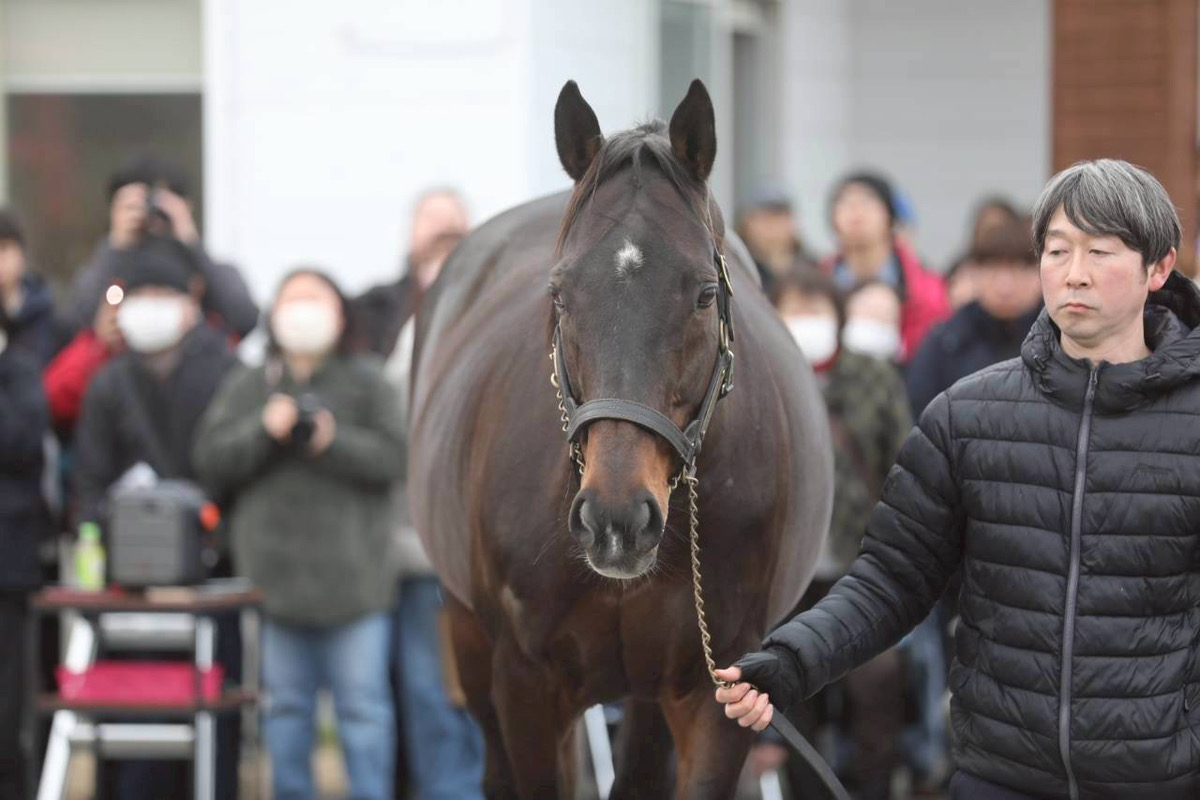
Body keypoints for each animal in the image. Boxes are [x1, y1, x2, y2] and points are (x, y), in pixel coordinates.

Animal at [408, 78, 833, 800]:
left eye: (705, 294)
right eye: (560, 292)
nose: (616, 519)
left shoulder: (718, 688)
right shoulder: (524, 682)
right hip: (470, 641)